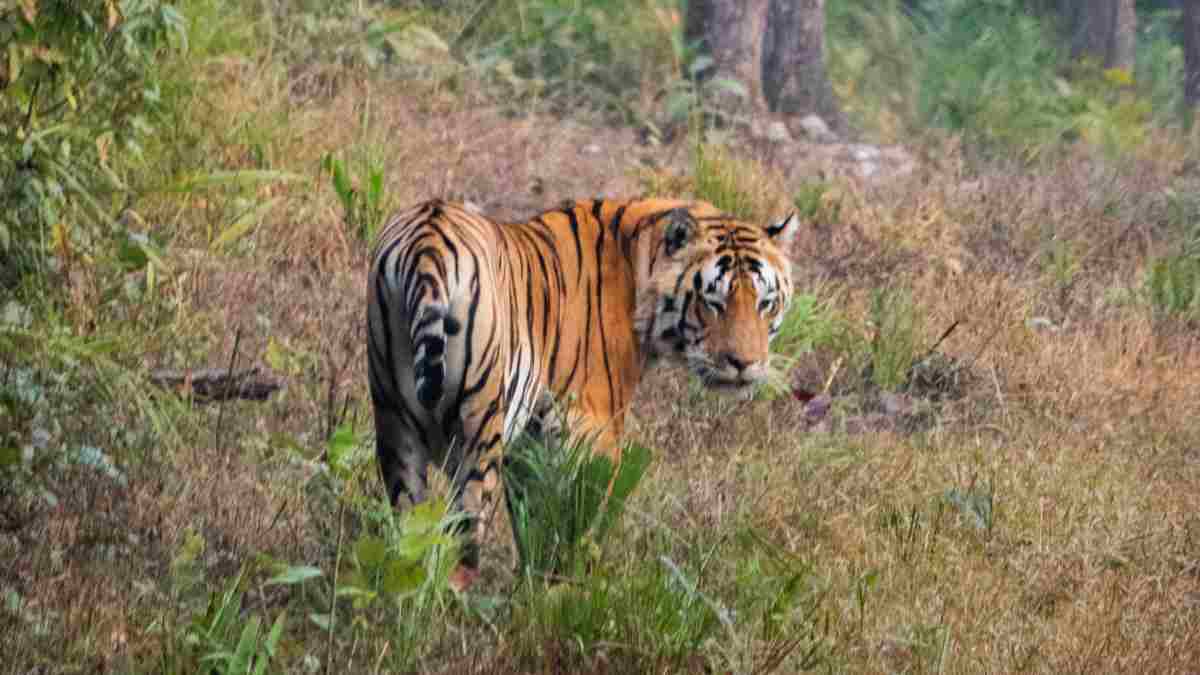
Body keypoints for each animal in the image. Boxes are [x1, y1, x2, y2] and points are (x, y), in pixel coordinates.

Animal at [366, 197, 799, 589]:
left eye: (765, 303)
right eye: (713, 302)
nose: (745, 364)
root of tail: (428, 241)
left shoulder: (530, 440)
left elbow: (535, 519)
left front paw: (536, 583)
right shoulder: (594, 428)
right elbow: (581, 518)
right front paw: (574, 586)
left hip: (394, 424)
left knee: (407, 532)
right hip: (478, 432)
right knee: (462, 537)